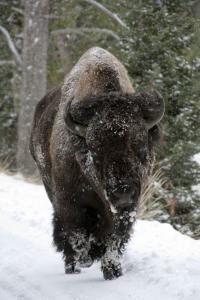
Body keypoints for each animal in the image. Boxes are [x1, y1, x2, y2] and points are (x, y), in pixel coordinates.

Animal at [29, 46, 164, 278]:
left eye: (141, 145)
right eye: (95, 149)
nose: (123, 193)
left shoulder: (126, 210)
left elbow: (115, 239)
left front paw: (113, 271)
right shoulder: (69, 202)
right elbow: (76, 234)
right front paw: (86, 258)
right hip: (50, 188)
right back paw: (73, 266)